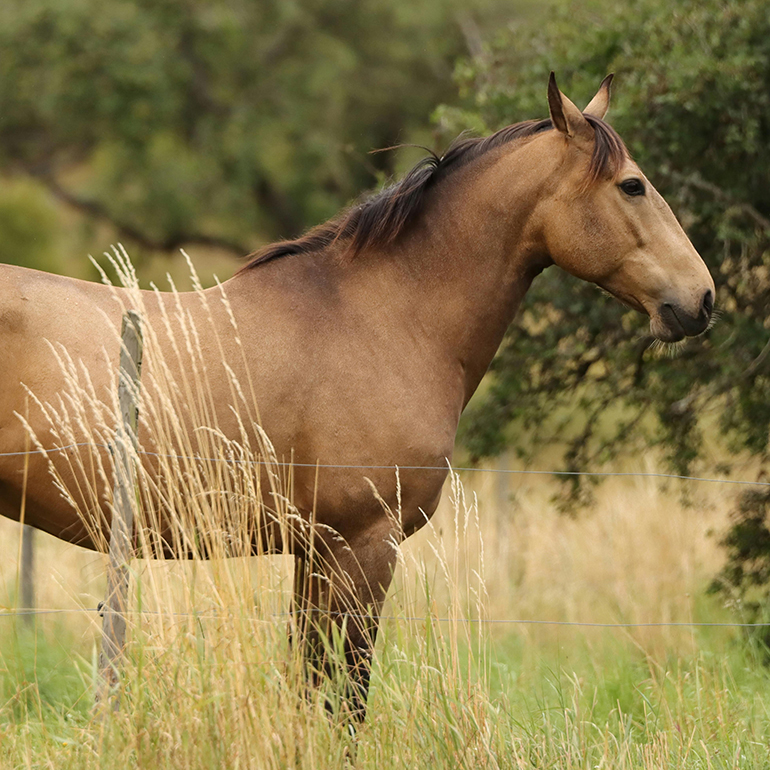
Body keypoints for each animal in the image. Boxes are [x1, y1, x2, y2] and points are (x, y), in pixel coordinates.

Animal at [0, 75, 712, 716]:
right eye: (632, 185)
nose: (700, 299)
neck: (382, 316)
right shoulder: (363, 546)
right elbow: (345, 698)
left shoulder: (315, 554)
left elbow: (309, 685)